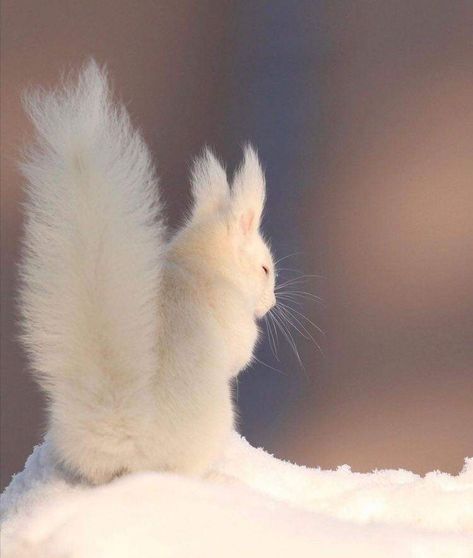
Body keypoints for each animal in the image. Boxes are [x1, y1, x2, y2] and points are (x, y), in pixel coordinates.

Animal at [19, 61, 276, 486]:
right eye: (265, 268)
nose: (270, 304)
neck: (199, 262)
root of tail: (124, 436)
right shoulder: (234, 327)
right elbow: (239, 352)